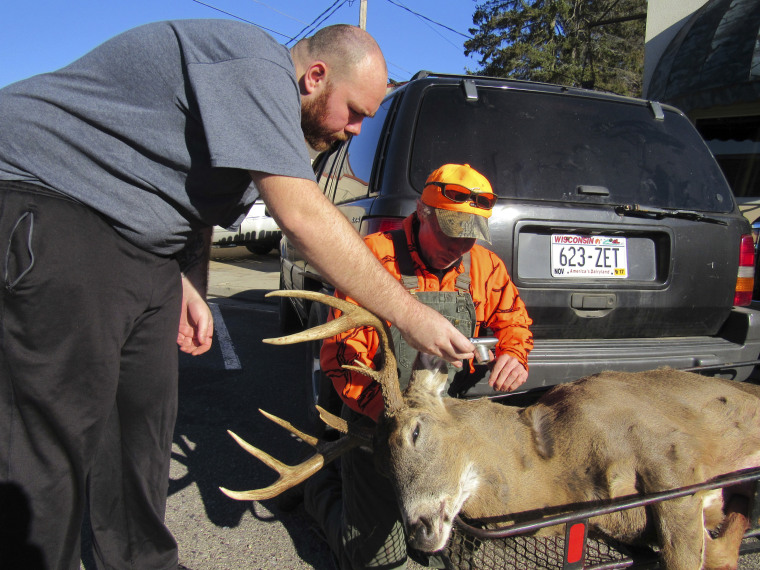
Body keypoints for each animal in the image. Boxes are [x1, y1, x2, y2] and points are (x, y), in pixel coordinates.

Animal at [221, 290, 760, 564]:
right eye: (382, 470)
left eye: (416, 432)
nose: (419, 531)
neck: (562, 460)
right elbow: (714, 551)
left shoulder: (669, 453)